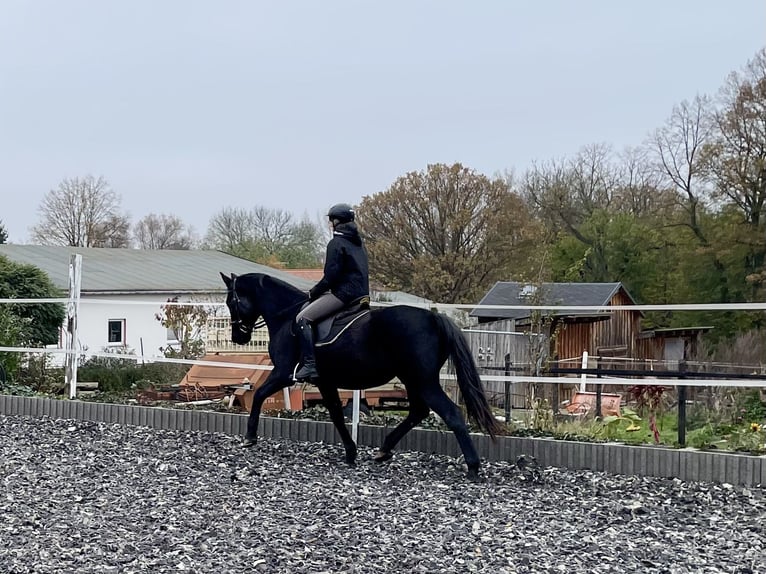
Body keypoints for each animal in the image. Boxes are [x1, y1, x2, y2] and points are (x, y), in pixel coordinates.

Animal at [219, 272, 500, 480]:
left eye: (231, 302)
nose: (238, 337)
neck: (287, 315)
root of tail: (434, 317)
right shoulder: (325, 382)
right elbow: (335, 414)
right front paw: (351, 452)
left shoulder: (283, 373)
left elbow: (259, 396)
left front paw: (250, 437)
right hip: (412, 380)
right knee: (418, 412)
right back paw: (384, 450)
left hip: (423, 381)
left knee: (451, 414)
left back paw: (473, 467)